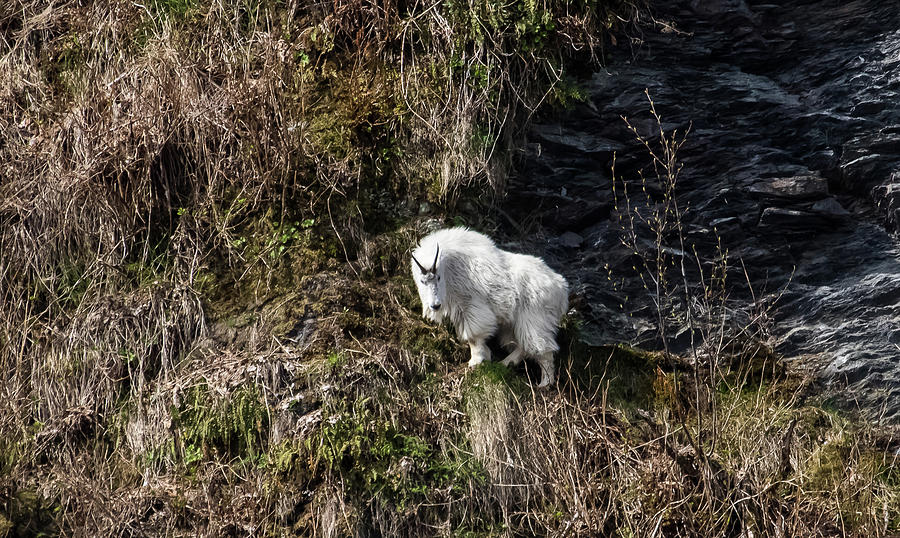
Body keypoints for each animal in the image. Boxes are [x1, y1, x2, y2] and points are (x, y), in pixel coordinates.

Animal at [410, 226, 568, 386]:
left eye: (438, 277)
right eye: (423, 281)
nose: (435, 305)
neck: (451, 268)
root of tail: (561, 289)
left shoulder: (472, 306)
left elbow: (473, 336)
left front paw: (476, 361)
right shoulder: (461, 308)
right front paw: (485, 355)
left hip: (535, 319)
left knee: (542, 349)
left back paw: (544, 383)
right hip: (515, 324)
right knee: (525, 346)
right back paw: (506, 363)